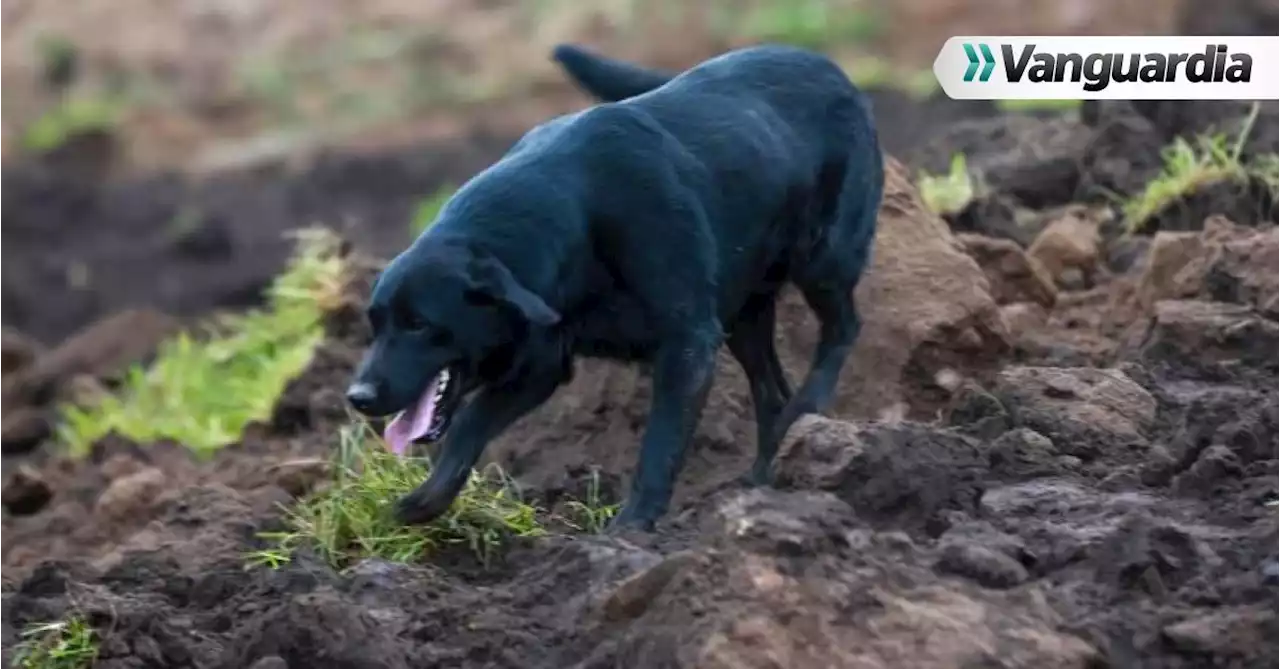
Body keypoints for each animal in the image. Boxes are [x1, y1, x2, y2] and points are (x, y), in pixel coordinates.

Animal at [343, 43, 880, 534]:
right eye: (374, 323)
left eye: (420, 324)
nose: (357, 397)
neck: (577, 211)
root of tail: (826, 65)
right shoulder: (541, 364)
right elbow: (468, 426)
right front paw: (424, 501)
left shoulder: (688, 344)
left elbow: (660, 444)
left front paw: (629, 532)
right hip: (744, 315)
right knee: (771, 394)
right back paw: (769, 475)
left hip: (823, 257)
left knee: (844, 328)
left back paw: (808, 409)